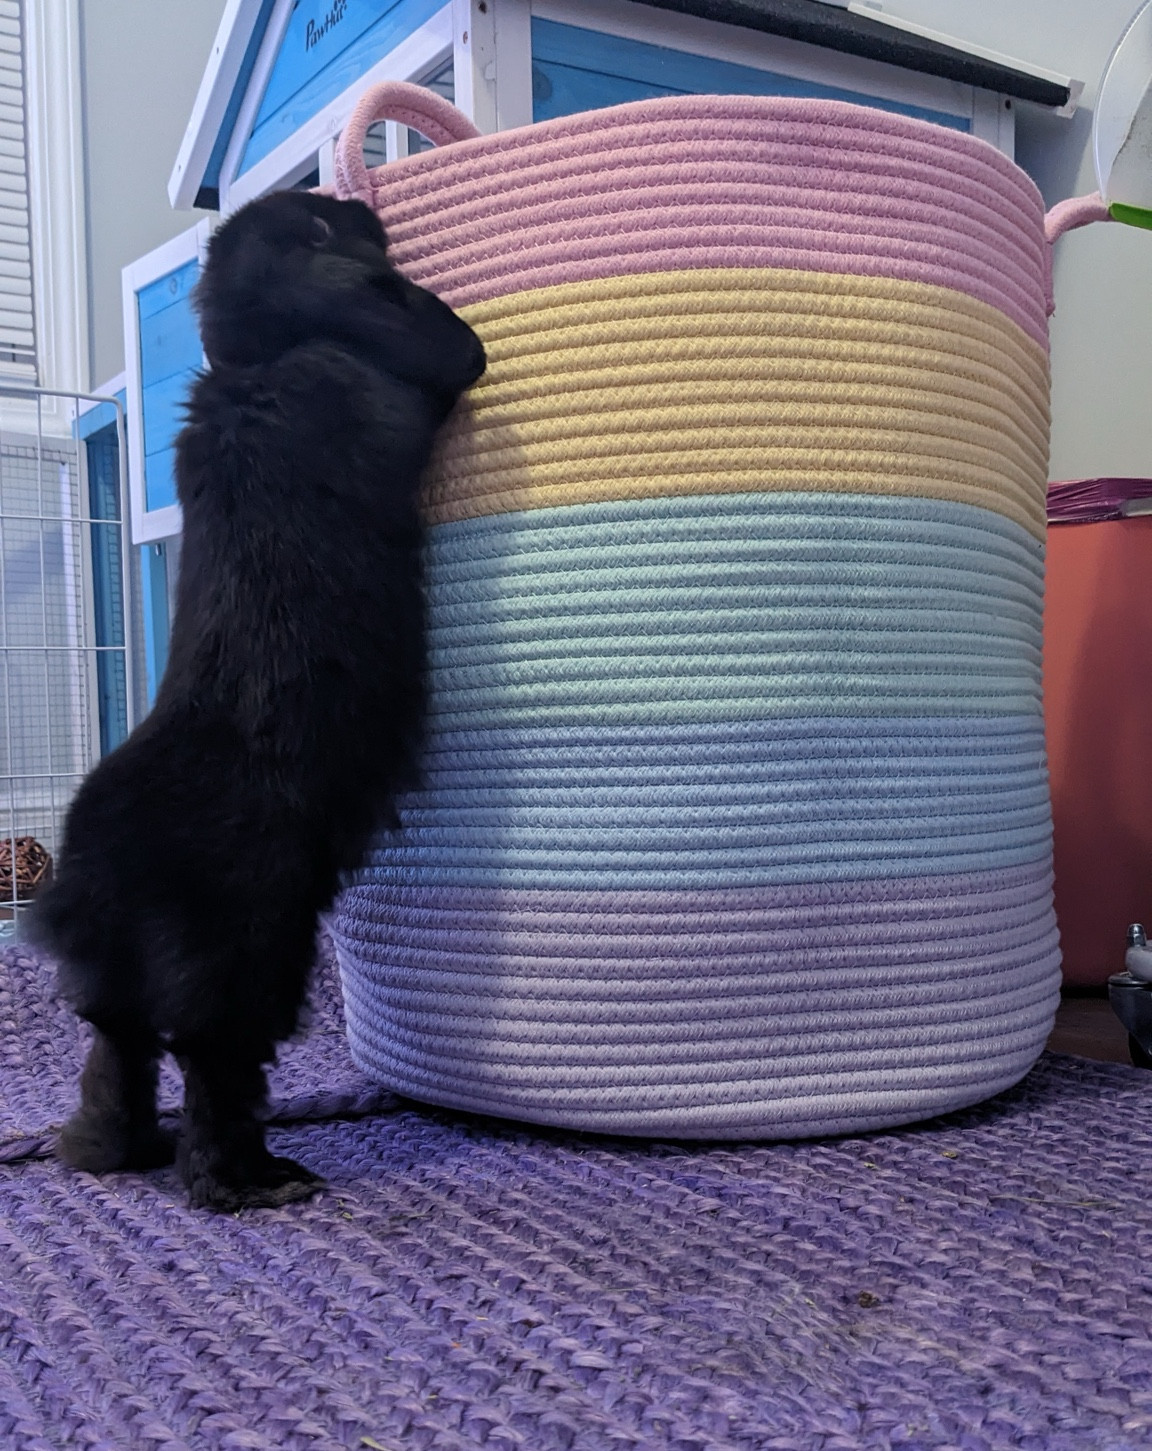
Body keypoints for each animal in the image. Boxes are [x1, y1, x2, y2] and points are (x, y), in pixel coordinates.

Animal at [30, 190, 485, 1210]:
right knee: (216, 1076)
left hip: (119, 993)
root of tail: (85, 887)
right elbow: (453, 347)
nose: (354, 198)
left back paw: (116, 1150)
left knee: (119, 1061)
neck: (270, 350)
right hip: (257, 956)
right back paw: (252, 1181)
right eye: (322, 217)